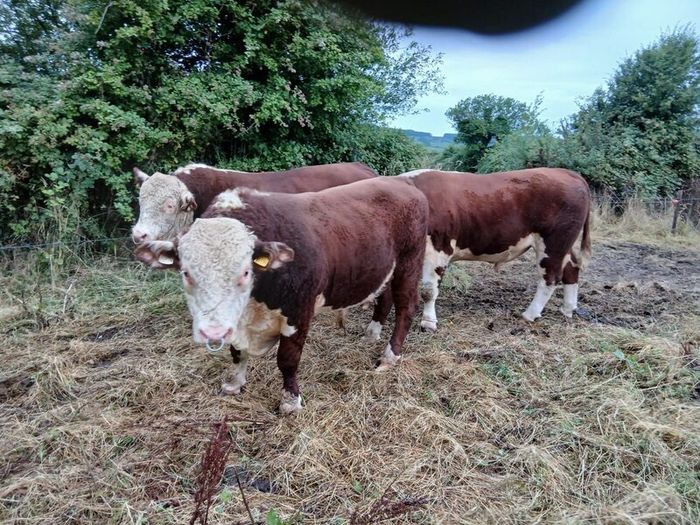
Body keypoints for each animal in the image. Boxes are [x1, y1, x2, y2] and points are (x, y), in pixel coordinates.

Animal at [134, 177, 429, 414]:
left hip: (409, 263)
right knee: (385, 299)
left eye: (245, 272)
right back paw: (372, 333)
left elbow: (287, 360)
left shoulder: (298, 313)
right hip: (385, 269)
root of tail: (402, 182)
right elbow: (236, 352)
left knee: (406, 307)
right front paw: (234, 383)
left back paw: (389, 356)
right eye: (186, 272)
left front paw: (290, 401)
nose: (212, 331)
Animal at [364, 168, 592, 338]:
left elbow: (429, 290)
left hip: (553, 242)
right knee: (572, 268)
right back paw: (568, 308)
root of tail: (568, 172)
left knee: (550, 278)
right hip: (564, 244)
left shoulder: (438, 248)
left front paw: (428, 322)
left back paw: (530, 314)